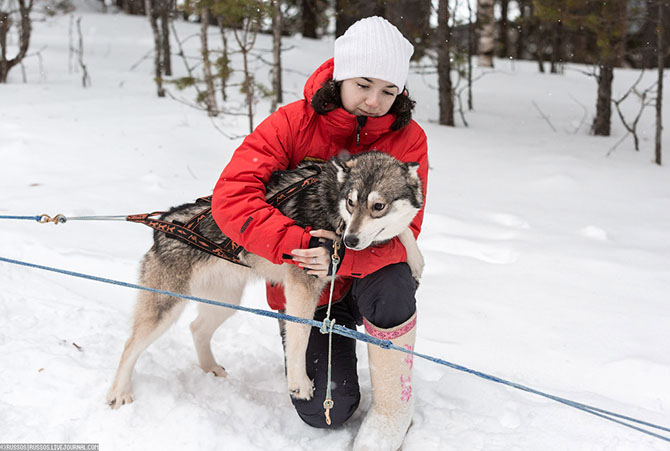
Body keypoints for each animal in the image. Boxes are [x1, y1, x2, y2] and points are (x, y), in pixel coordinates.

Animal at [108, 151, 428, 410]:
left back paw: (209, 367)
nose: (350, 241)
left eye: (378, 206)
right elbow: (299, 335)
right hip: (166, 306)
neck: (331, 202)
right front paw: (299, 384)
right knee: (130, 345)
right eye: (351, 202)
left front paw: (414, 256)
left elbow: (402, 230)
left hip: (225, 300)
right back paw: (119, 392)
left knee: (197, 328)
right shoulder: (303, 284)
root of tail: (163, 223)